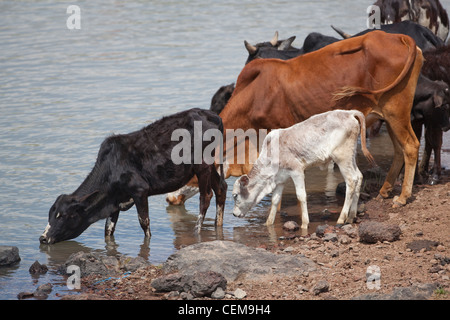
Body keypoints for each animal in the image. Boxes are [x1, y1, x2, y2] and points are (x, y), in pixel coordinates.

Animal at [40, 109, 227, 244]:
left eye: (63, 215)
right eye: (50, 213)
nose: (43, 238)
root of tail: (211, 115)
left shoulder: (139, 191)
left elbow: (144, 222)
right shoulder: (115, 202)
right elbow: (108, 229)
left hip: (202, 165)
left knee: (206, 196)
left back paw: (197, 232)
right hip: (211, 166)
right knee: (221, 188)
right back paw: (218, 226)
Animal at [168, 30, 422, 208]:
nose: (169, 199)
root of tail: (398, 37)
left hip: (396, 110)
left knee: (410, 146)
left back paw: (402, 197)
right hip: (388, 114)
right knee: (399, 149)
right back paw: (385, 190)